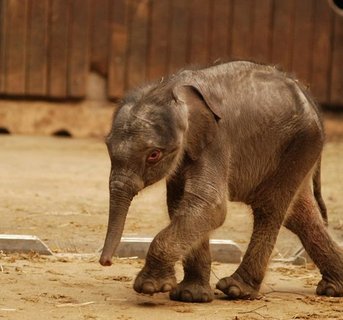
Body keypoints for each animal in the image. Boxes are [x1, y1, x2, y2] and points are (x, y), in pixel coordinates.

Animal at [99, 60, 343, 302]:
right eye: (107, 146)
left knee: (270, 208)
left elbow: (211, 206)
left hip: (300, 144)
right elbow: (181, 203)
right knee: (299, 216)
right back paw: (333, 289)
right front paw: (190, 296)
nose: (106, 262)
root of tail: (309, 97)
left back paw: (236, 289)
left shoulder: (217, 142)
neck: (172, 88)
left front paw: (151, 287)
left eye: (154, 155)